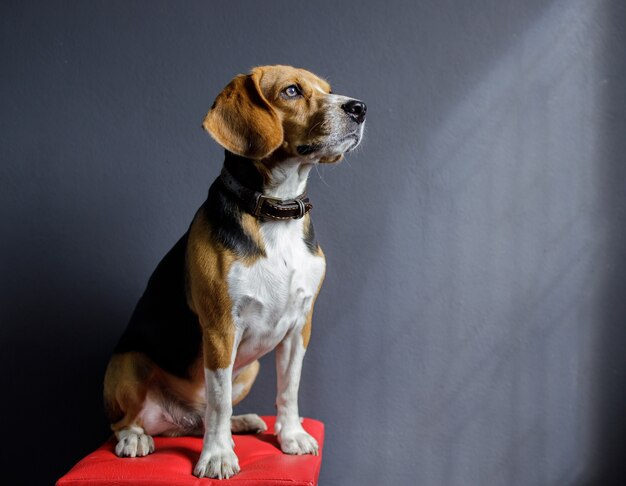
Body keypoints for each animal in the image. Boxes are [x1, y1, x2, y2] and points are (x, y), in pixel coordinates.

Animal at [103, 64, 366, 478]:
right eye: (292, 91)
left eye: (329, 89)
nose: (359, 108)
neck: (275, 211)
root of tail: (175, 418)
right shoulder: (220, 329)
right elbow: (219, 399)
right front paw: (218, 456)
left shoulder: (300, 326)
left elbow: (288, 388)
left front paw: (290, 435)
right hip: (128, 363)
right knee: (131, 421)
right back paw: (135, 438)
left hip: (250, 367)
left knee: (201, 417)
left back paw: (240, 422)